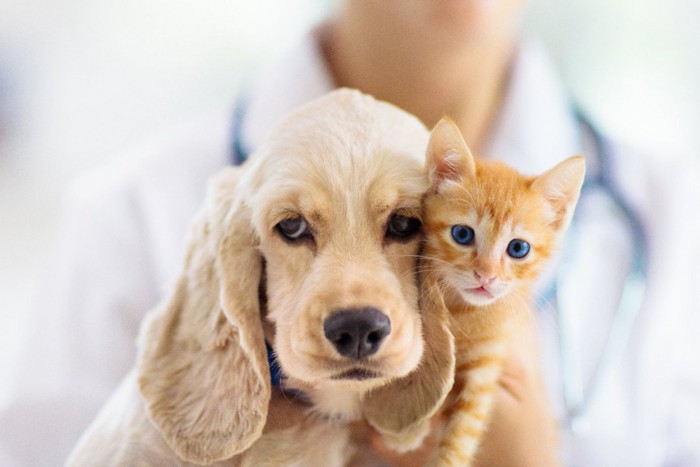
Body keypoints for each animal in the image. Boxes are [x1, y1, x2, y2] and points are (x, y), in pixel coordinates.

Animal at [422, 118, 584, 467]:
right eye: (462, 234)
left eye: (518, 248)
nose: (486, 275)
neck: (463, 313)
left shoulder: (487, 366)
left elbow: (464, 433)